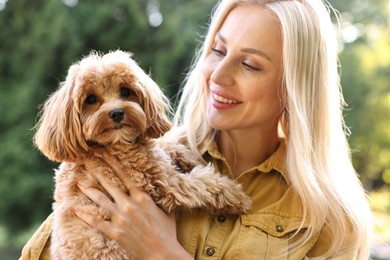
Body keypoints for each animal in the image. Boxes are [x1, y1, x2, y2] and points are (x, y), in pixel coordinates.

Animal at [35, 49, 251, 258]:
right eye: (91, 99)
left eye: (125, 91)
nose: (116, 113)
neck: (111, 145)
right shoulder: (164, 182)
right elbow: (204, 184)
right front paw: (238, 196)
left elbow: (164, 145)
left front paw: (185, 154)